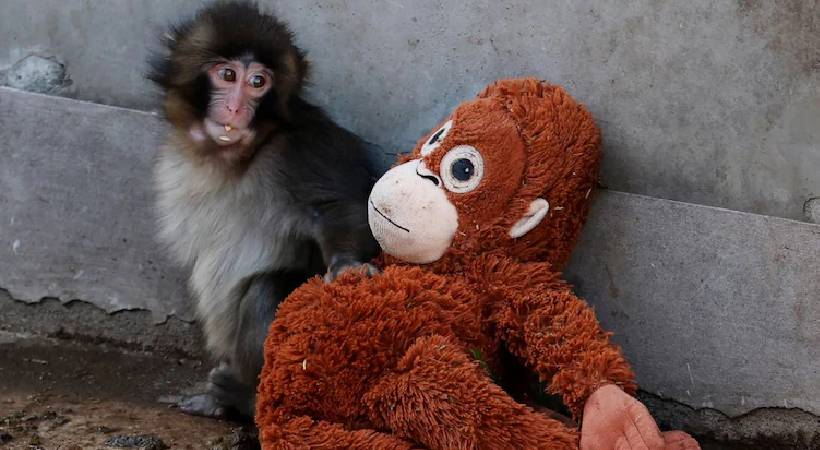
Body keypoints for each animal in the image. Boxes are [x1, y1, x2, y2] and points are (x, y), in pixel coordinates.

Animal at [147, 1, 380, 419]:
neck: (236, 157)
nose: (236, 107)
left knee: (265, 291)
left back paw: (245, 398)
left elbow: (338, 207)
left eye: (258, 82)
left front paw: (347, 265)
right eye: (227, 75)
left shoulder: (303, 147)